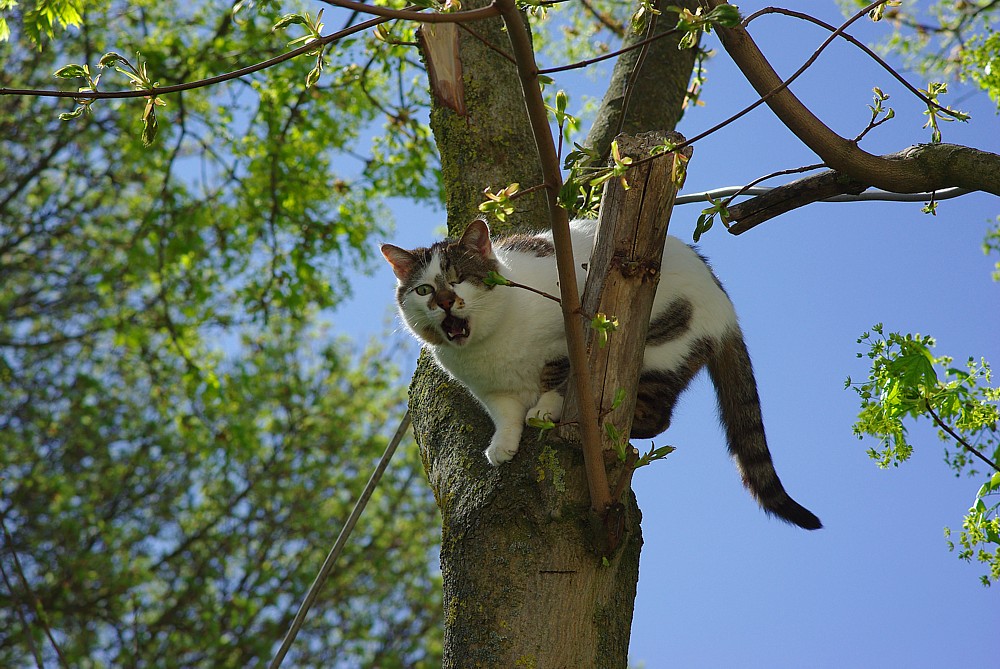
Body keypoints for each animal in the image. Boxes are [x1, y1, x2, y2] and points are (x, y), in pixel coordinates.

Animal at [380, 218, 820, 528]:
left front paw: (545, 410)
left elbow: (557, 377)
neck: (489, 347)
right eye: (423, 290)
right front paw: (503, 443)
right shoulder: (488, 389)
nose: (445, 301)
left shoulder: (568, 333)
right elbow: (504, 413)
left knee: (658, 417)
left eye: (460, 279)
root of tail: (729, 311)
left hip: (657, 346)